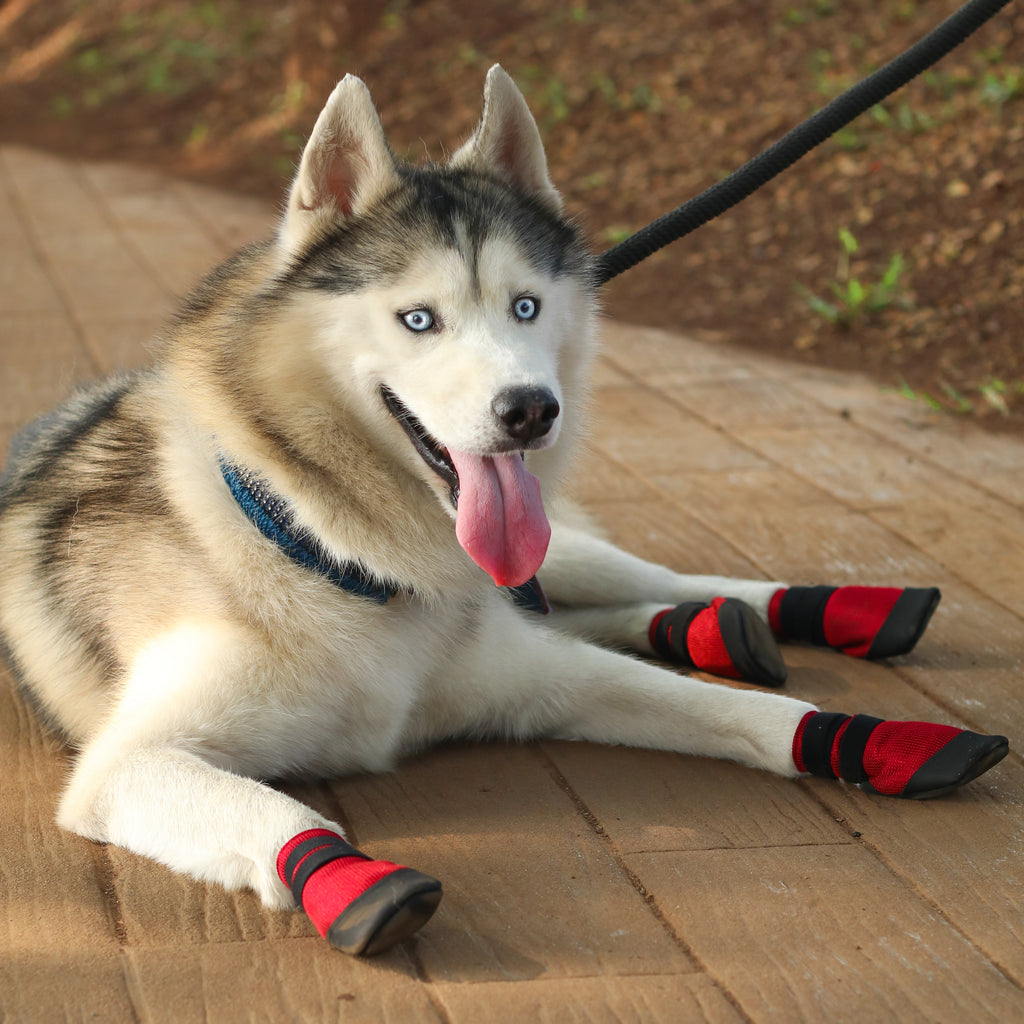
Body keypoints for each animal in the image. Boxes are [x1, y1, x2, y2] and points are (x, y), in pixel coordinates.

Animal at [0, 68, 1007, 954]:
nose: (530, 410)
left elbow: (734, 711)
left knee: (647, 579)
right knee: (597, 607)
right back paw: (706, 627)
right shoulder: (126, 766)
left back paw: (791, 611)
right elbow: (276, 808)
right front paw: (351, 882)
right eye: (419, 320)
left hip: (564, 553)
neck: (336, 552)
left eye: (526, 307)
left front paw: (879, 741)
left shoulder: (544, 677)